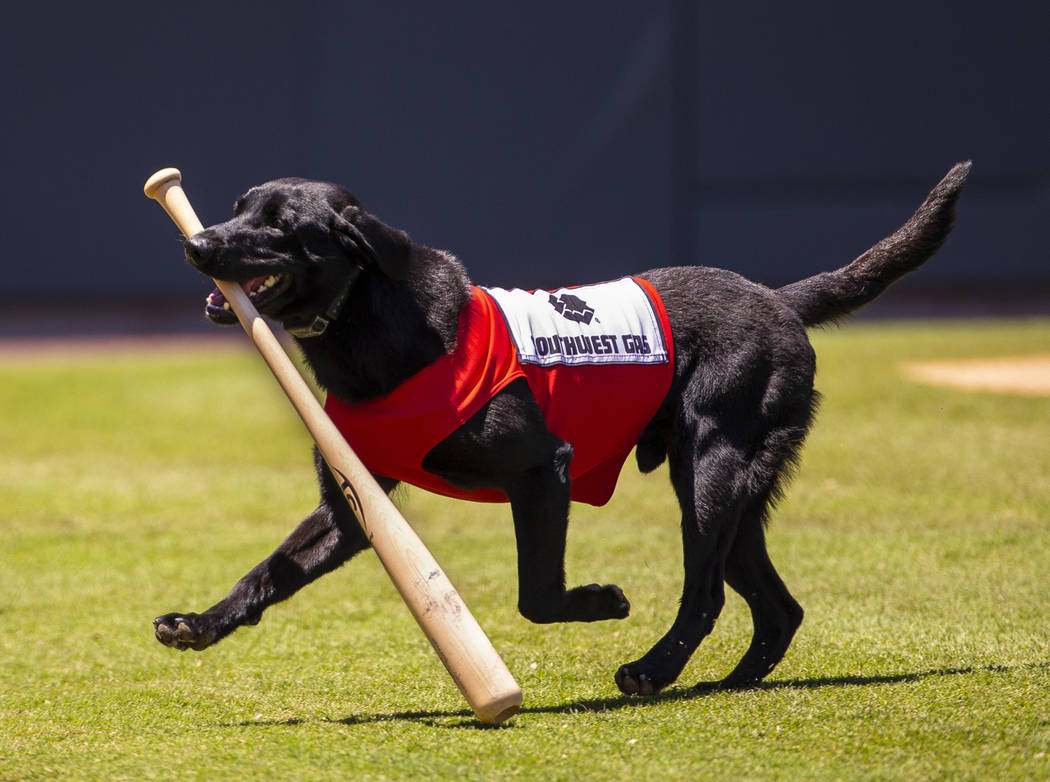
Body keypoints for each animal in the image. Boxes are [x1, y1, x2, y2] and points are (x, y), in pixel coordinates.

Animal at [153, 160, 965, 696]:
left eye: (280, 227)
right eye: (237, 206)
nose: (195, 245)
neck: (378, 332)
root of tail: (781, 298)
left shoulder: (544, 469)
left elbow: (536, 595)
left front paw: (602, 602)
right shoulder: (353, 508)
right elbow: (269, 573)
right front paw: (200, 621)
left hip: (710, 473)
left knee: (706, 592)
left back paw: (651, 671)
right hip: (737, 500)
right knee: (776, 607)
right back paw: (727, 684)